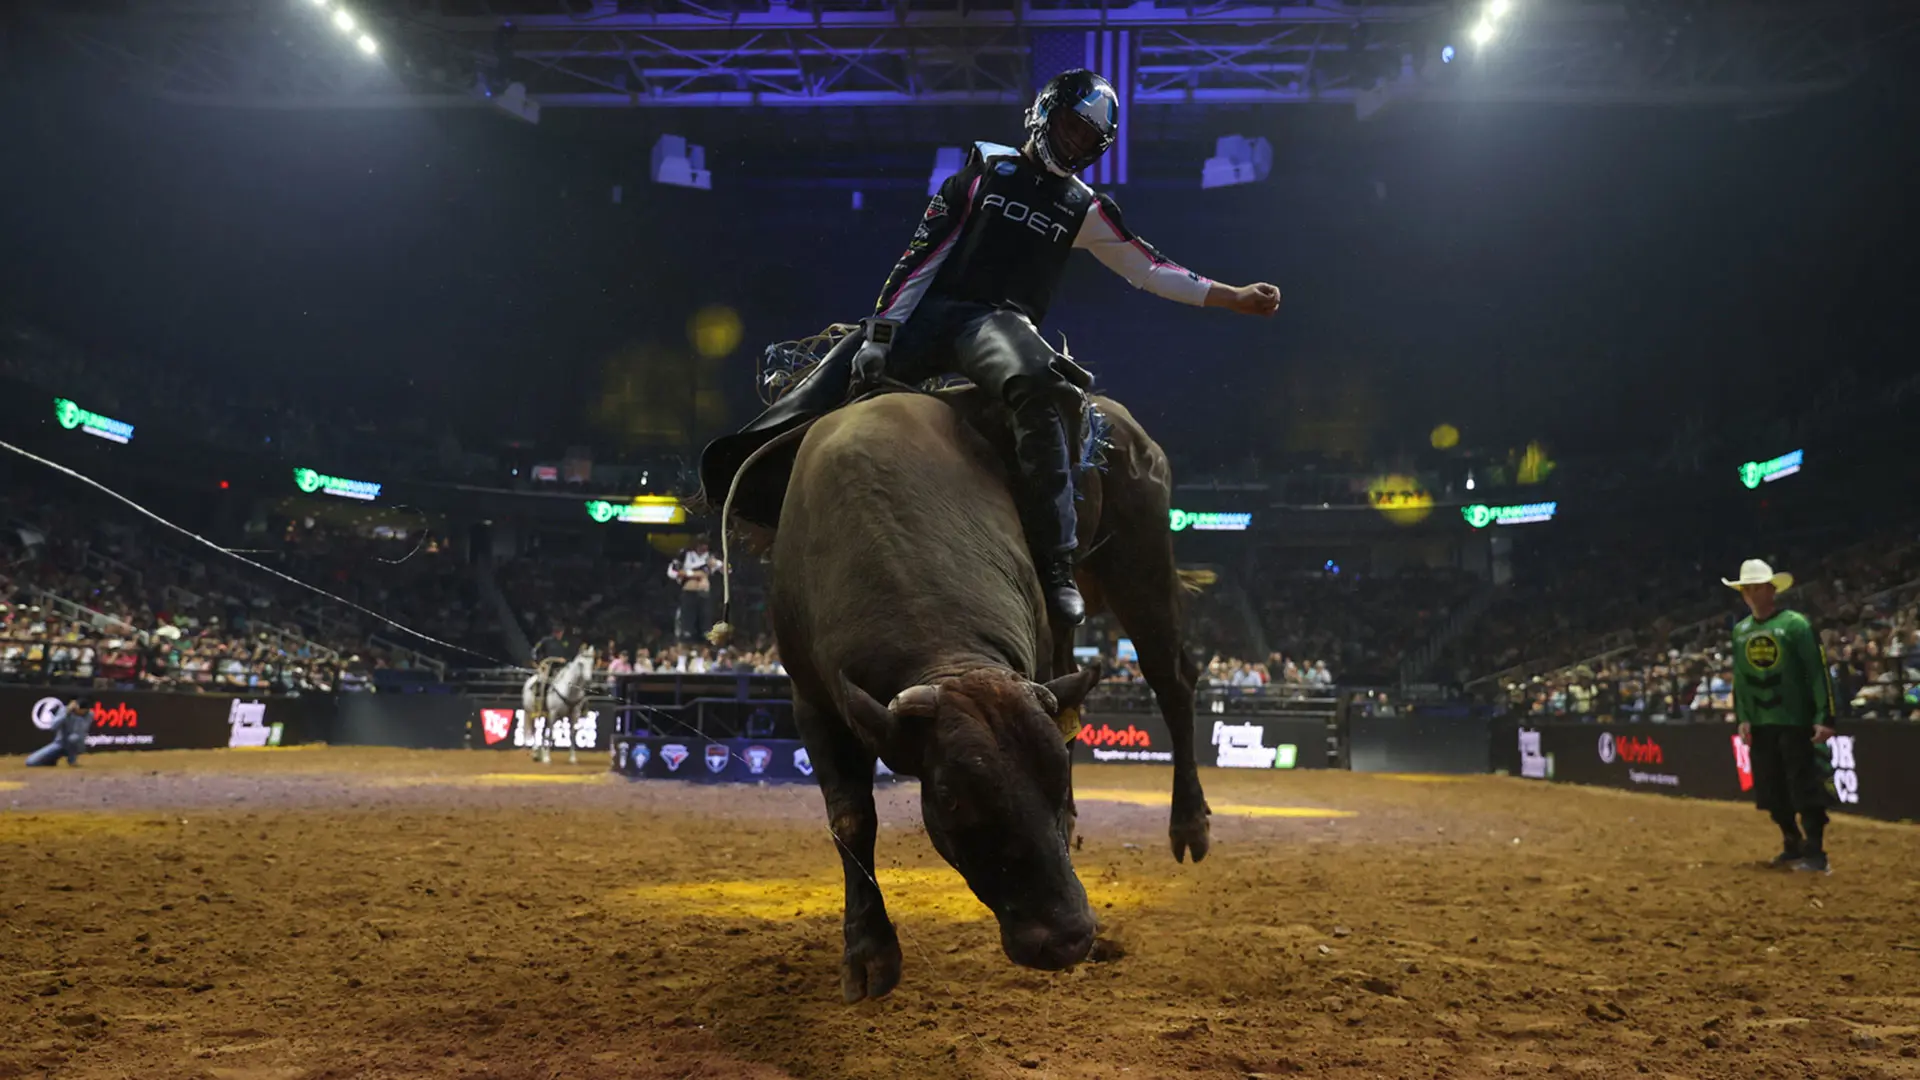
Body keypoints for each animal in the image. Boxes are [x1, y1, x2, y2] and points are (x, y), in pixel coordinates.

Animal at [698, 351, 1205, 991]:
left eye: (1053, 780)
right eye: (952, 797)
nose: (1067, 938)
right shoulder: (812, 701)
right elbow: (850, 817)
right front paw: (869, 950)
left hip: (1141, 563)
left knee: (1172, 681)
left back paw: (1189, 825)